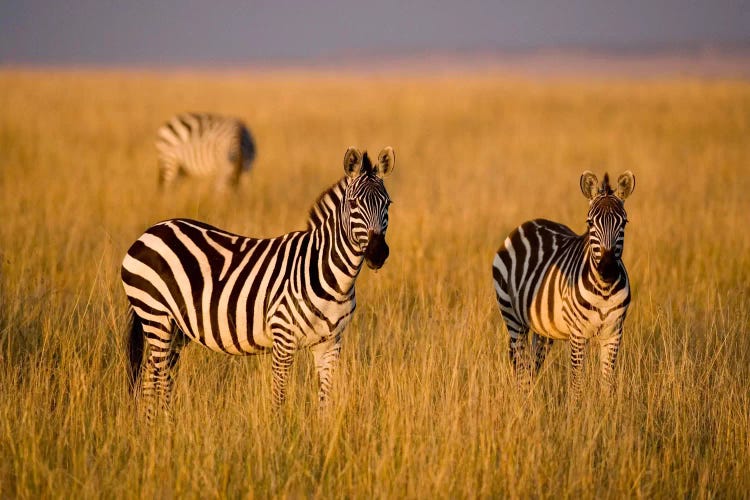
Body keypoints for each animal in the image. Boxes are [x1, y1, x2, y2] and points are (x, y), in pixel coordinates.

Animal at [122, 146, 400, 420]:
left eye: (388, 203)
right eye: (353, 204)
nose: (377, 254)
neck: (332, 278)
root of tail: (151, 231)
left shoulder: (330, 344)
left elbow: (325, 403)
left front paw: (322, 432)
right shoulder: (283, 339)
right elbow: (279, 399)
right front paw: (279, 432)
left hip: (176, 327)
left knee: (153, 374)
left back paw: (155, 424)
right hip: (155, 316)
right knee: (157, 377)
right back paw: (159, 425)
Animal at [496, 172, 636, 402]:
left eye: (623, 222)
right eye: (590, 223)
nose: (607, 269)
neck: (604, 291)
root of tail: (529, 223)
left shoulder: (614, 334)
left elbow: (607, 384)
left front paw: (607, 410)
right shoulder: (578, 334)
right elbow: (577, 384)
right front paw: (576, 411)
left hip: (542, 329)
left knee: (532, 367)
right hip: (513, 318)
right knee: (520, 366)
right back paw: (521, 402)